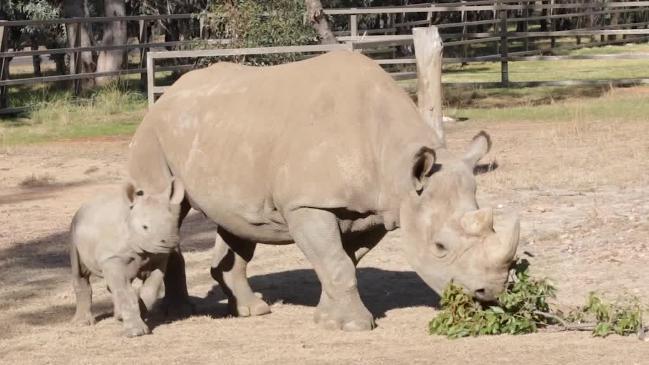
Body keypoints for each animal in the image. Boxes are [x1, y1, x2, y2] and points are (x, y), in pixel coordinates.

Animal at [69, 178, 184, 336]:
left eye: (174, 223)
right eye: (145, 227)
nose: (170, 241)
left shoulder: (159, 256)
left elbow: (151, 287)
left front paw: (139, 310)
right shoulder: (112, 257)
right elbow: (124, 290)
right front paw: (136, 332)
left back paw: (118, 316)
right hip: (74, 228)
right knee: (80, 272)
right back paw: (81, 324)